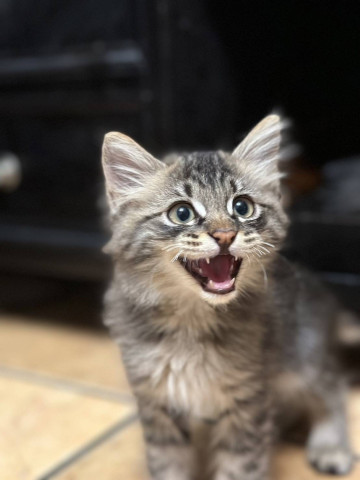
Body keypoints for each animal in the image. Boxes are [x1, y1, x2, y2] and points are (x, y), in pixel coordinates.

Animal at [100, 114, 352, 478]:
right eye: (181, 213)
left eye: (242, 207)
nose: (224, 235)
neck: (191, 320)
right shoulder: (156, 399)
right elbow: (168, 463)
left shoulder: (248, 399)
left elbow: (240, 466)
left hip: (302, 355)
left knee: (334, 386)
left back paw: (331, 446)